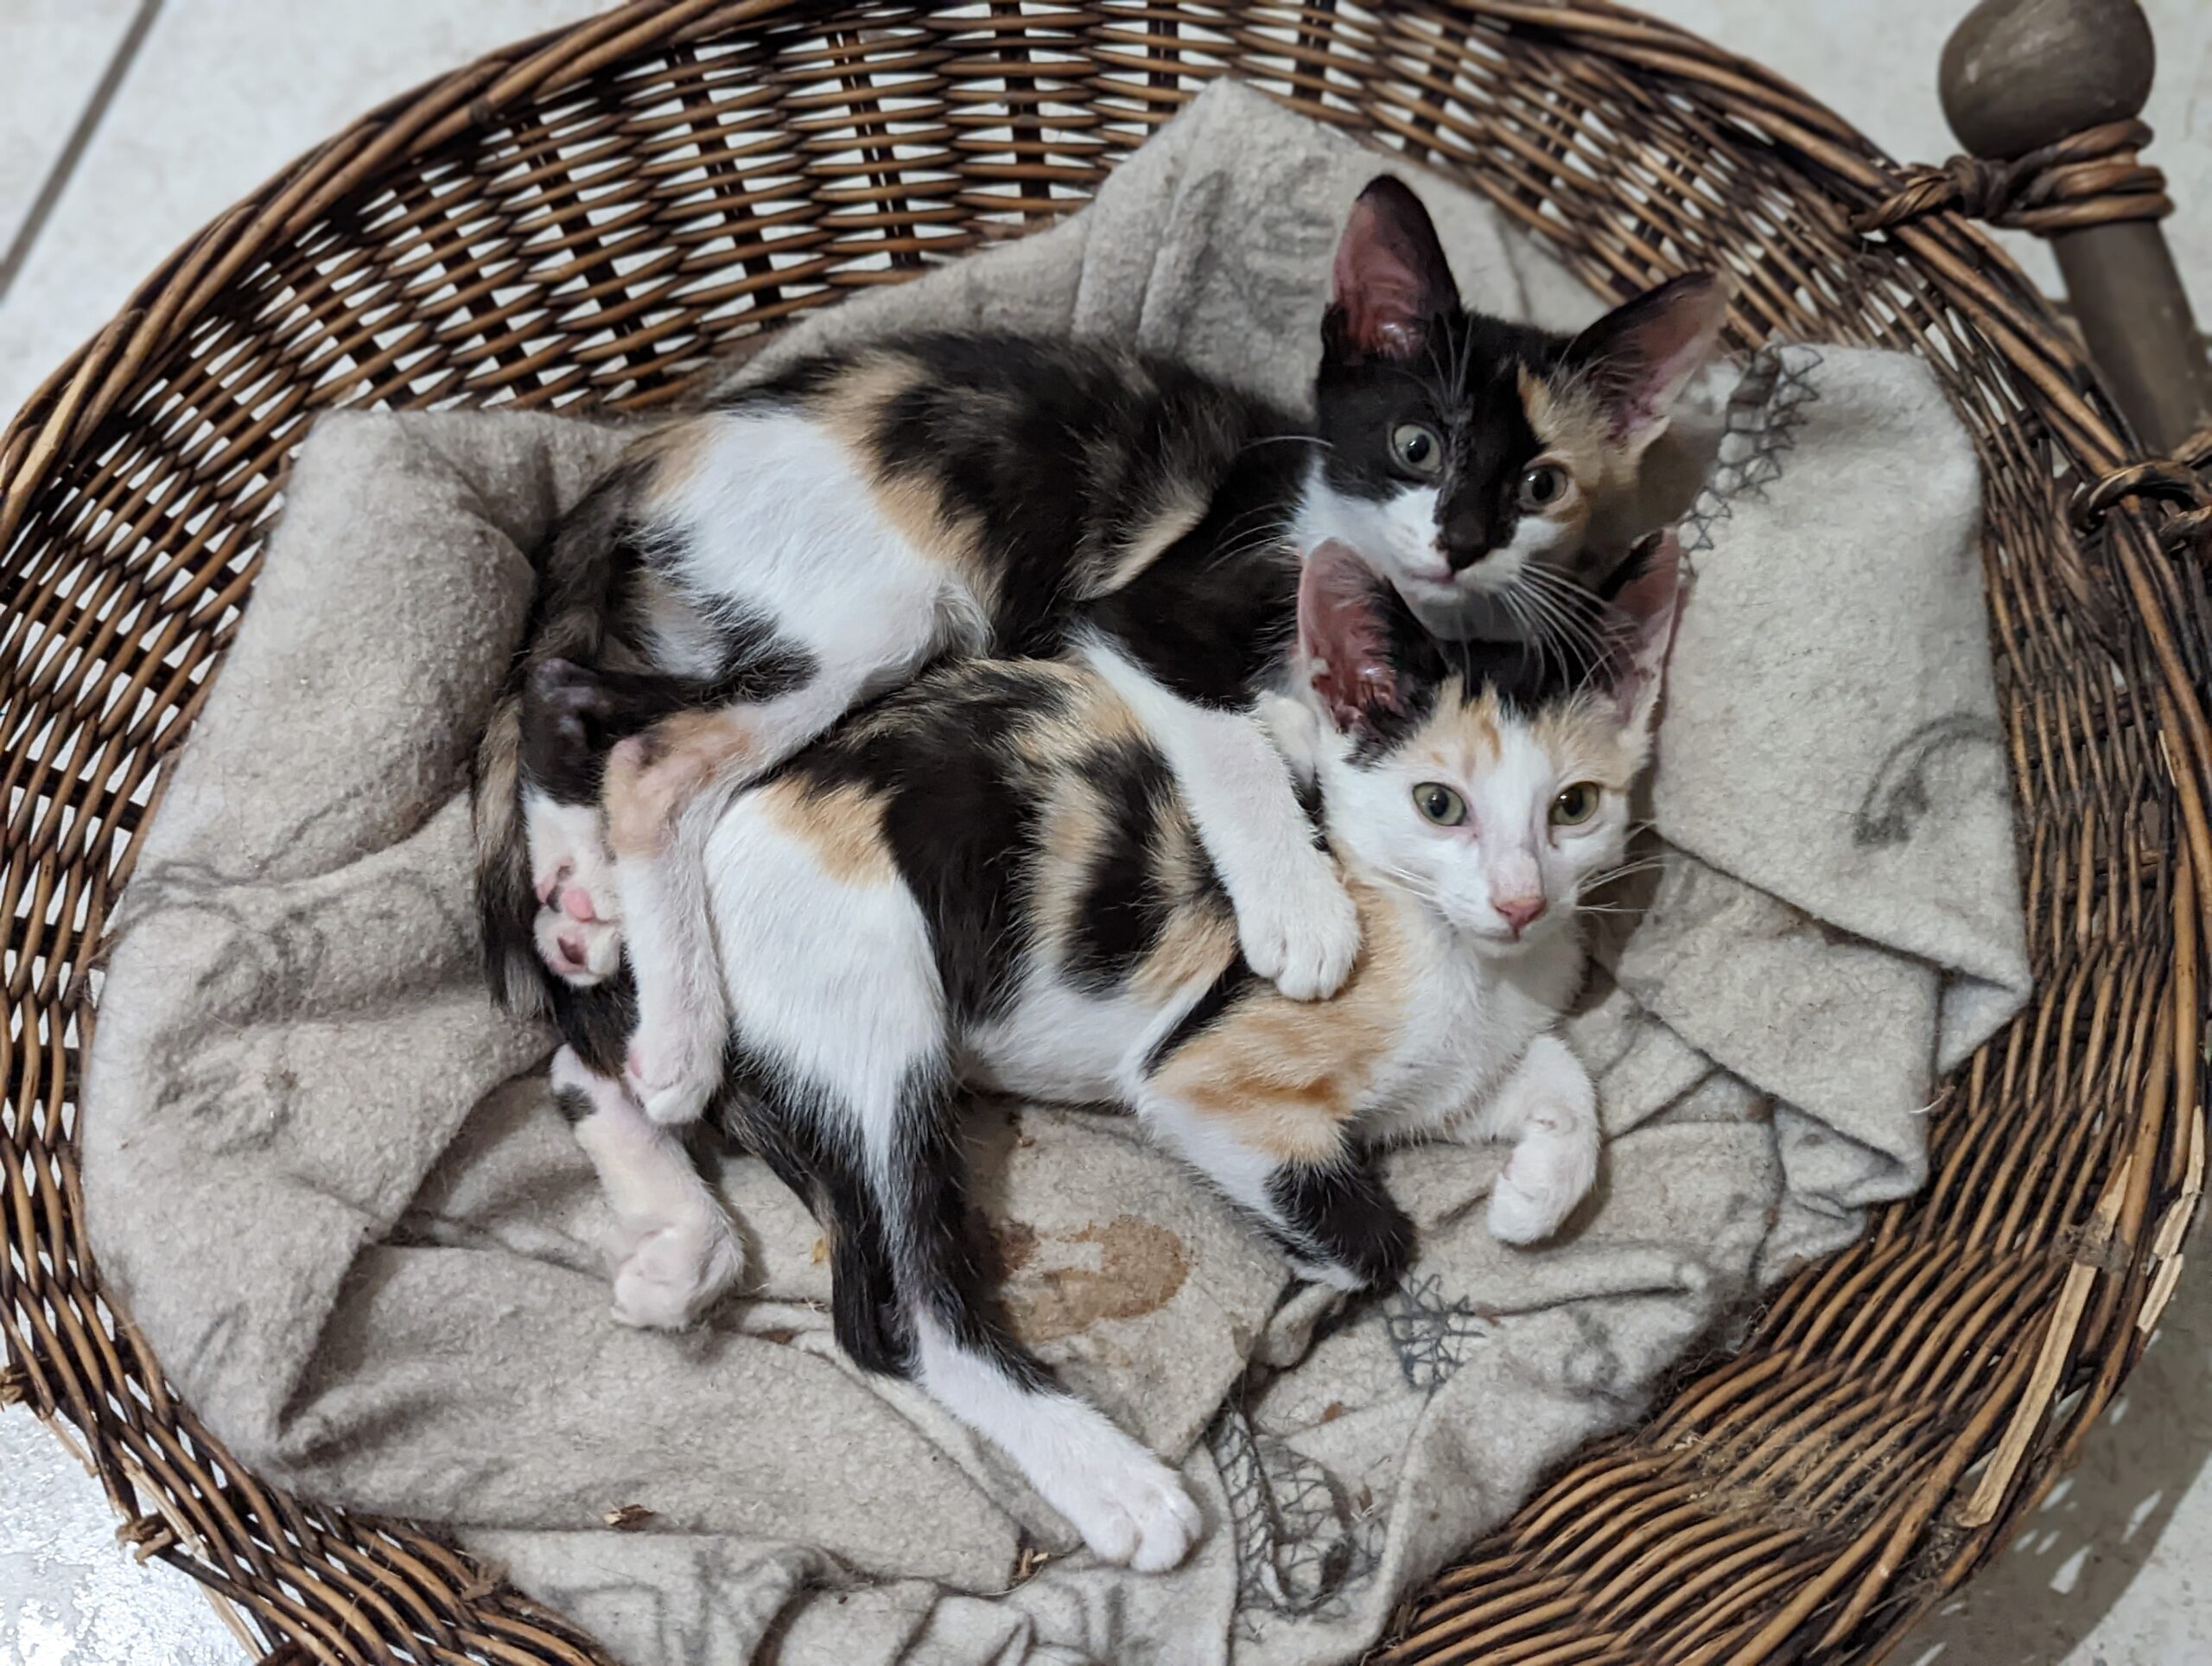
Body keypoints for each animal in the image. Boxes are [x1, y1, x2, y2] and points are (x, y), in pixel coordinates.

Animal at [480, 179, 1725, 1132]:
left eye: (1541, 484)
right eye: (1415, 444)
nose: (1460, 544)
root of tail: (666, 439)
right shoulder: (1135, 614)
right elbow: (1226, 738)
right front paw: (1303, 911)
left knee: (568, 686)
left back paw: (582, 900)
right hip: (880, 610)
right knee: (658, 762)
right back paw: (680, 1040)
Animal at [548, 535, 1672, 1575]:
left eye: (1574, 806)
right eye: (1439, 803)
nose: (1521, 899)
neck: (1468, 955)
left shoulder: (1445, 1073)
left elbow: (1552, 1076)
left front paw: (1534, 1194)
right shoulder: (1200, 1080)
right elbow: (1375, 1236)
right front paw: (1303, 1291)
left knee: (593, 1067)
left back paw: (670, 1242)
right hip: (866, 994)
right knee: (898, 1308)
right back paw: (1116, 1482)